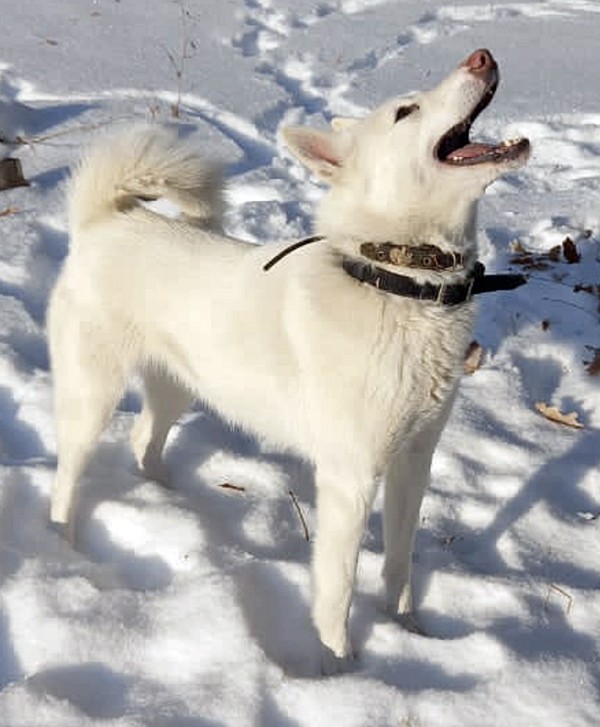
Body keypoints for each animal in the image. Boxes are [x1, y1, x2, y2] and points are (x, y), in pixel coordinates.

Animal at [47, 48, 529, 673]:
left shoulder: (414, 462)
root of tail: (105, 219)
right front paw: (342, 668)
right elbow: (337, 591)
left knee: (143, 441)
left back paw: (173, 499)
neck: (397, 281)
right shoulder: (350, 480)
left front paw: (408, 631)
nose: (482, 56)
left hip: (180, 384)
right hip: (92, 396)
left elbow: (399, 566)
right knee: (67, 477)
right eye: (406, 111)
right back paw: (65, 543)